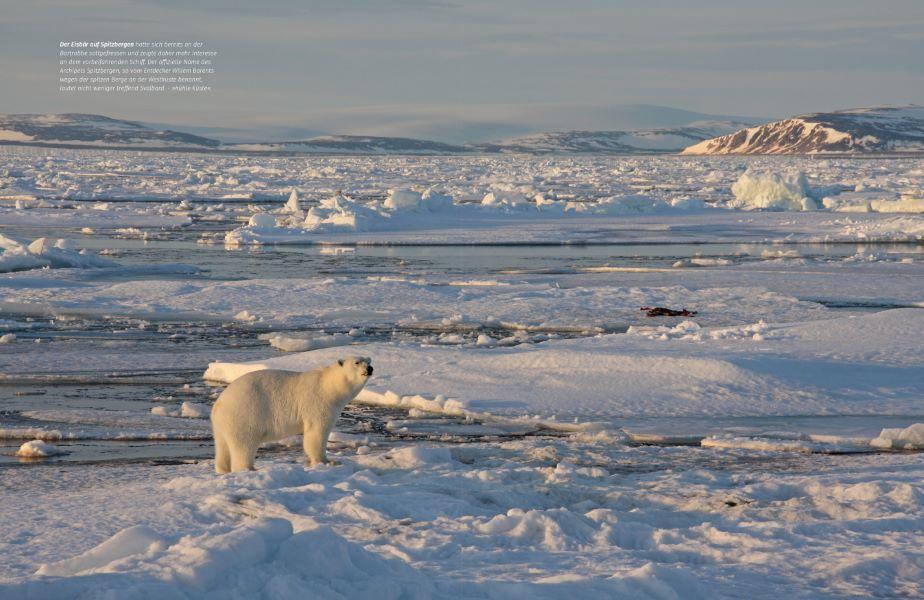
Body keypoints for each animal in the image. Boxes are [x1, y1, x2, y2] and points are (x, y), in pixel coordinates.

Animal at [213, 356, 372, 474]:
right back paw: (250, 468)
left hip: (224, 424)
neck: (329, 387)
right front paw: (326, 461)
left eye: (369, 361)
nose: (369, 369)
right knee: (244, 444)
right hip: (245, 414)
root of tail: (218, 405)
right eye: (357, 362)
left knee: (222, 447)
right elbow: (316, 433)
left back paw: (224, 469)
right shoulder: (317, 403)